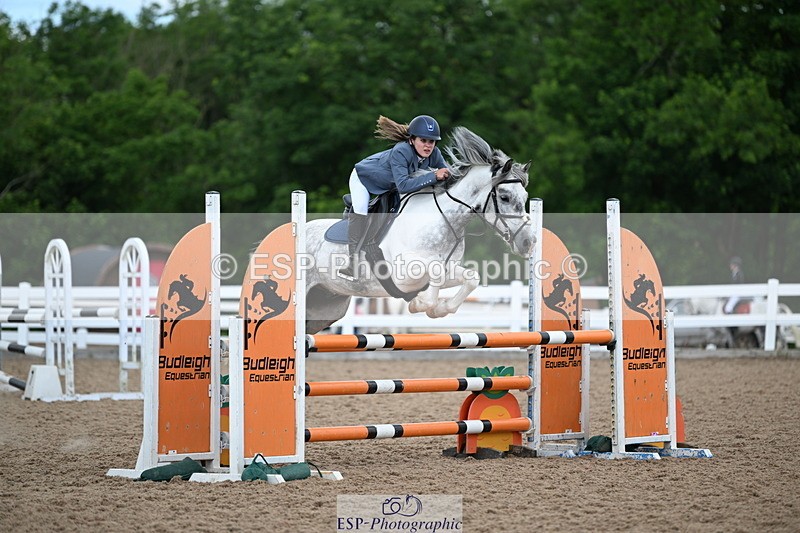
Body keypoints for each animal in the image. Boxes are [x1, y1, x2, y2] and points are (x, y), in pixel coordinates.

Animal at [303, 126, 535, 334]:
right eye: (504, 197)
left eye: (525, 198)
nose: (528, 242)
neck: (444, 222)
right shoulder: (402, 271)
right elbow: (436, 270)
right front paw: (420, 303)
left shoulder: (447, 270)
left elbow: (470, 277)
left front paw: (439, 308)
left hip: (326, 306)